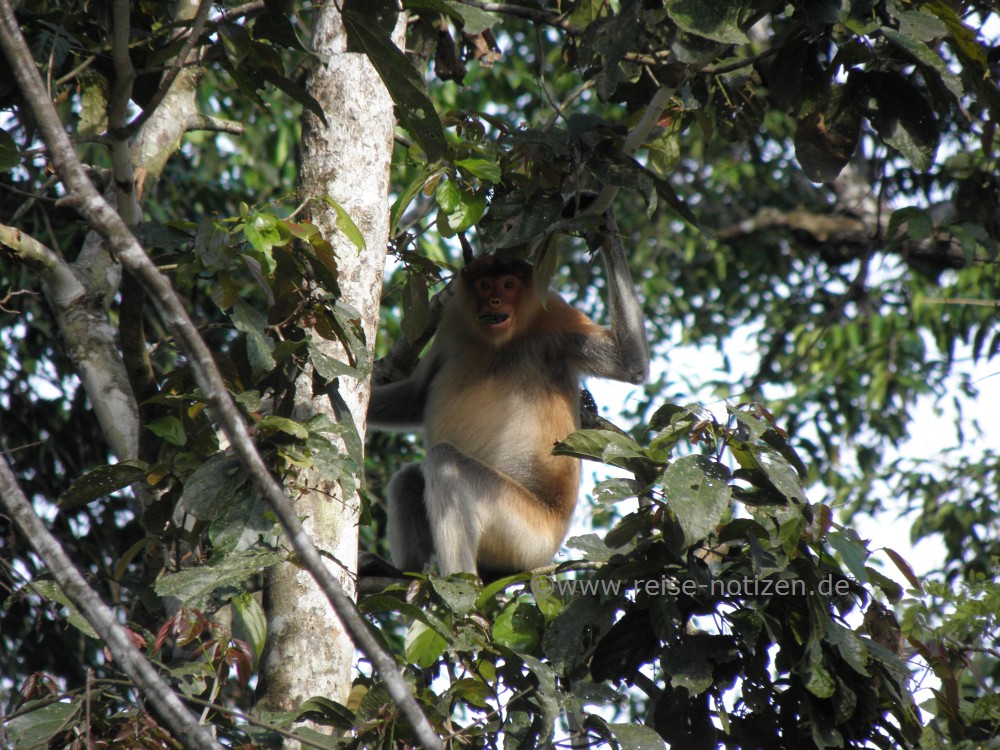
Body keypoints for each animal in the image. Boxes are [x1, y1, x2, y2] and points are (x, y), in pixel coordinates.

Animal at [368, 226, 648, 580]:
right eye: (485, 285)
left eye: (509, 285)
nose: (495, 301)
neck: (499, 341)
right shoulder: (453, 322)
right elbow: (415, 398)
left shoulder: (555, 313)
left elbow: (629, 363)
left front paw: (606, 227)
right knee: (408, 479)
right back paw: (403, 574)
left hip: (527, 534)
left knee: (445, 462)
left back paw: (461, 586)